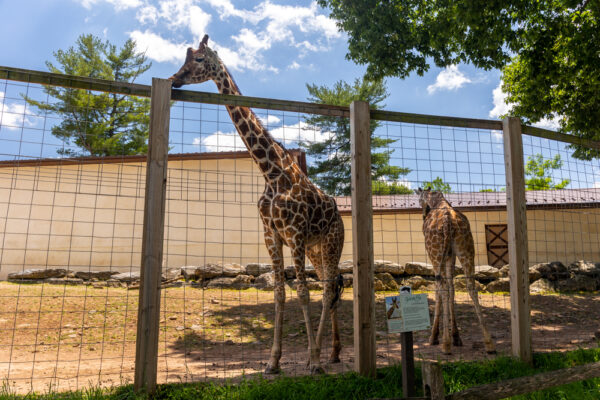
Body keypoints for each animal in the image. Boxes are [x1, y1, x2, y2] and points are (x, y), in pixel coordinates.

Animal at [171, 35, 344, 376]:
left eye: (198, 59)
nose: (174, 79)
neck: (270, 171)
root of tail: (341, 215)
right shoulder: (271, 236)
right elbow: (279, 293)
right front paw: (273, 362)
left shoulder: (295, 235)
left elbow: (302, 292)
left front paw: (312, 361)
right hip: (317, 250)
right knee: (329, 289)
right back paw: (330, 353)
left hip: (332, 243)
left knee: (330, 289)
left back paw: (320, 357)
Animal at [414, 188, 494, 354]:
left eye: (419, 199)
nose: (423, 214)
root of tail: (448, 223)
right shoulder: (451, 255)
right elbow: (452, 288)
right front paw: (456, 336)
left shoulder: (440, 256)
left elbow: (440, 289)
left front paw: (436, 337)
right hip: (466, 250)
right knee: (471, 287)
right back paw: (489, 343)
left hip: (436, 252)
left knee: (442, 286)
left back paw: (445, 344)